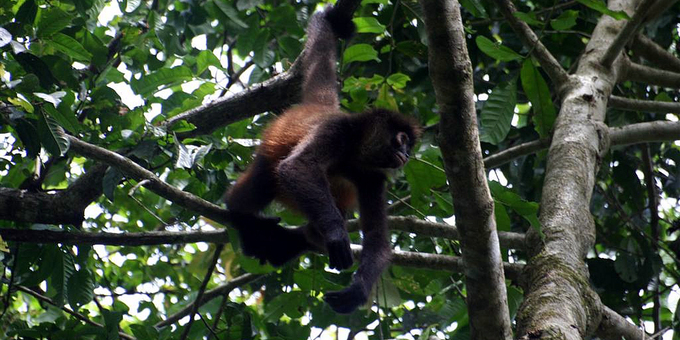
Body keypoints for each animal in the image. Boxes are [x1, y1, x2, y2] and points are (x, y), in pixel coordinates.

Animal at [226, 6, 420, 314]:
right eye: (401, 140)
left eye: (410, 145)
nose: (407, 154)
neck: (353, 155)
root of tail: (320, 106)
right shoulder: (336, 131)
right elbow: (296, 168)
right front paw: (337, 235)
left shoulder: (372, 176)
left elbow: (377, 240)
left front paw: (357, 291)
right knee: (257, 188)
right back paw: (244, 219)